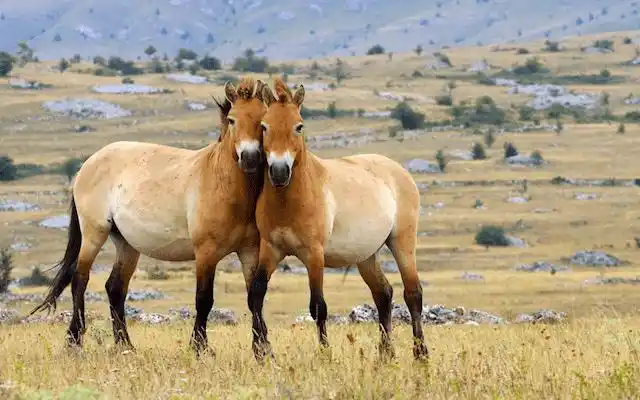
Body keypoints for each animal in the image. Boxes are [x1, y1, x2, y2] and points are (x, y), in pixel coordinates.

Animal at [29, 77, 268, 355]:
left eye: (263, 121)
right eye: (231, 120)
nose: (250, 157)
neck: (222, 183)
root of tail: (87, 164)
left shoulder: (249, 251)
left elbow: (255, 297)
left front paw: (263, 349)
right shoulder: (206, 253)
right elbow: (204, 299)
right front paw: (199, 348)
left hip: (126, 244)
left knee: (115, 288)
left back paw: (125, 345)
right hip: (94, 233)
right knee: (80, 280)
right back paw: (74, 341)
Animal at [246, 77, 428, 361]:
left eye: (299, 126)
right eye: (264, 126)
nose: (279, 172)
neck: (291, 201)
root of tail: (400, 170)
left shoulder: (314, 255)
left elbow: (318, 306)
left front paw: (325, 354)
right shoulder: (271, 249)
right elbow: (256, 294)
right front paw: (261, 353)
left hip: (402, 242)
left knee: (413, 294)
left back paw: (420, 354)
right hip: (366, 255)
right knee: (383, 294)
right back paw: (385, 354)